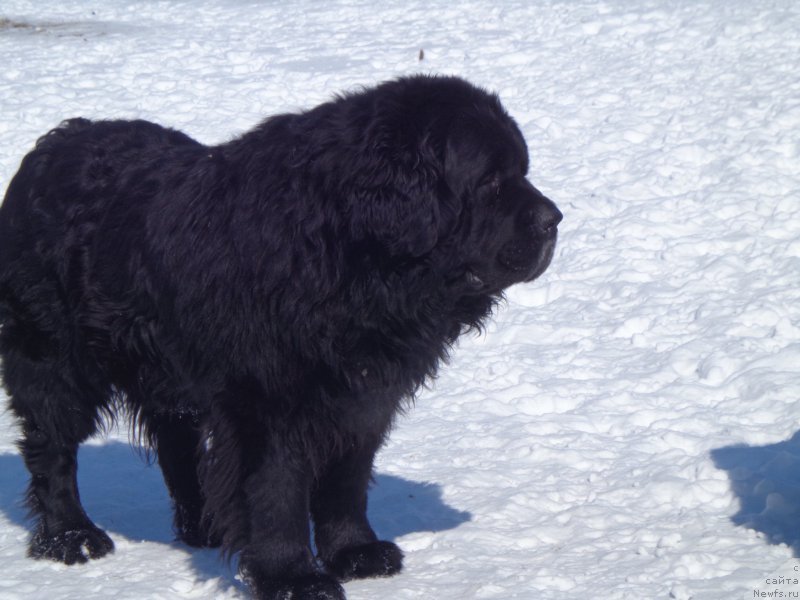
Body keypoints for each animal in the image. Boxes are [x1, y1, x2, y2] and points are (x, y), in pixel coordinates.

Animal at [0, 76, 564, 600]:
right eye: (490, 181)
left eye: (522, 171)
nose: (554, 219)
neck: (351, 256)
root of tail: (50, 146)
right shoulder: (267, 401)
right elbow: (276, 490)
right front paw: (293, 577)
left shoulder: (361, 396)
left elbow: (346, 479)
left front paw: (355, 552)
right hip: (53, 357)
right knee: (53, 446)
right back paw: (71, 536)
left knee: (178, 442)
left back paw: (204, 525)